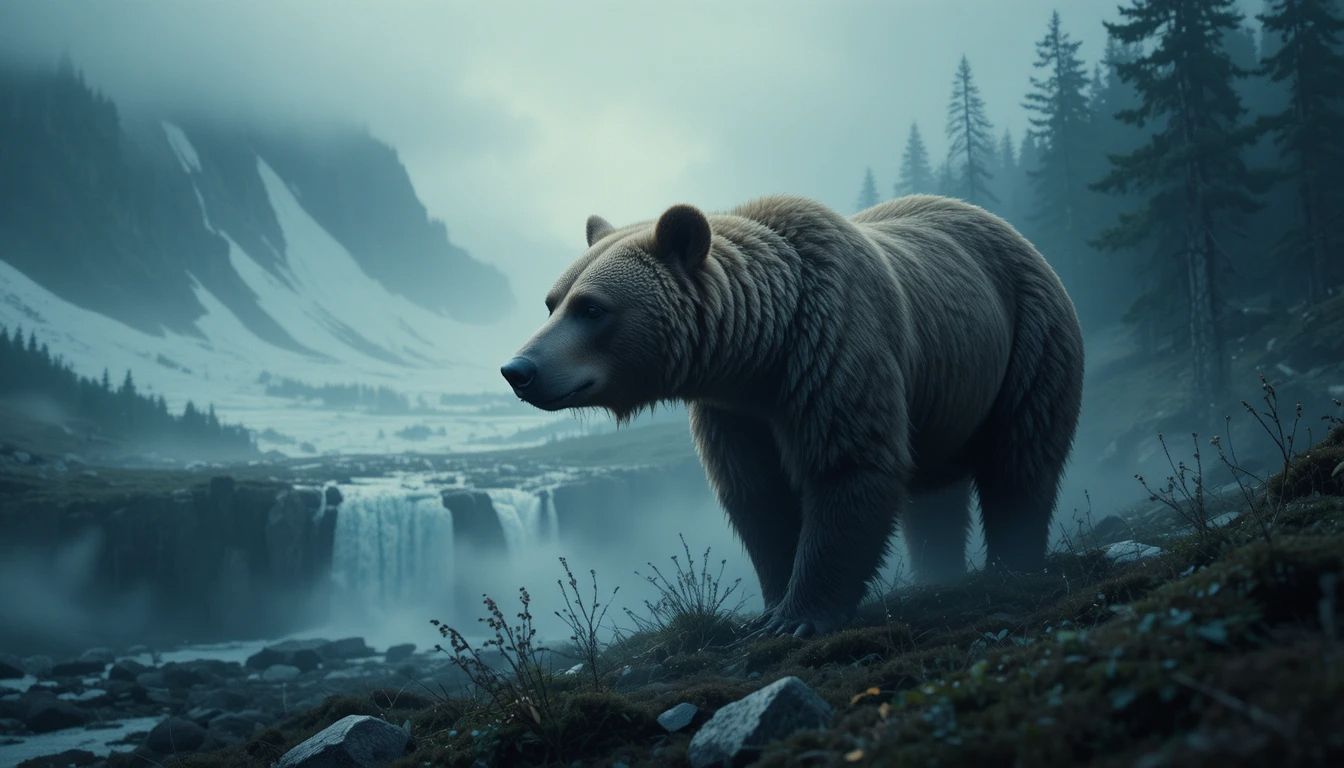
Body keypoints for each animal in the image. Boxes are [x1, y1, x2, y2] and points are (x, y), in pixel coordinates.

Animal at [502, 195, 1084, 637]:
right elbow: (758, 498)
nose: (518, 369)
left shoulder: (835, 349)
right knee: (935, 498)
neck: (762, 349)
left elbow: (847, 467)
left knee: (1021, 458)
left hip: (1028, 340)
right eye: (552, 302)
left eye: (592, 308)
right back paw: (938, 575)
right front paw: (772, 604)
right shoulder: (734, 414)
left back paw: (1012, 564)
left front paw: (800, 615)